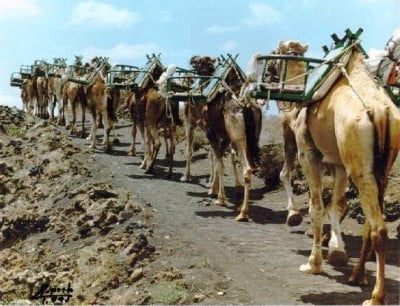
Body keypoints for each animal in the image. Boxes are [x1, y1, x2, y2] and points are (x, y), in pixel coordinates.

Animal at [268, 39, 400, 304]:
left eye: (277, 53)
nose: (269, 74)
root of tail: (381, 113)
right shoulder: (339, 163)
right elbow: (336, 204)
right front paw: (336, 251)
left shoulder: (308, 153)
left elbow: (316, 206)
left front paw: (313, 264)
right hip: (382, 167)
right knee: (371, 224)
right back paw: (357, 276)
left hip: (359, 167)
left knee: (379, 229)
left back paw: (375, 296)